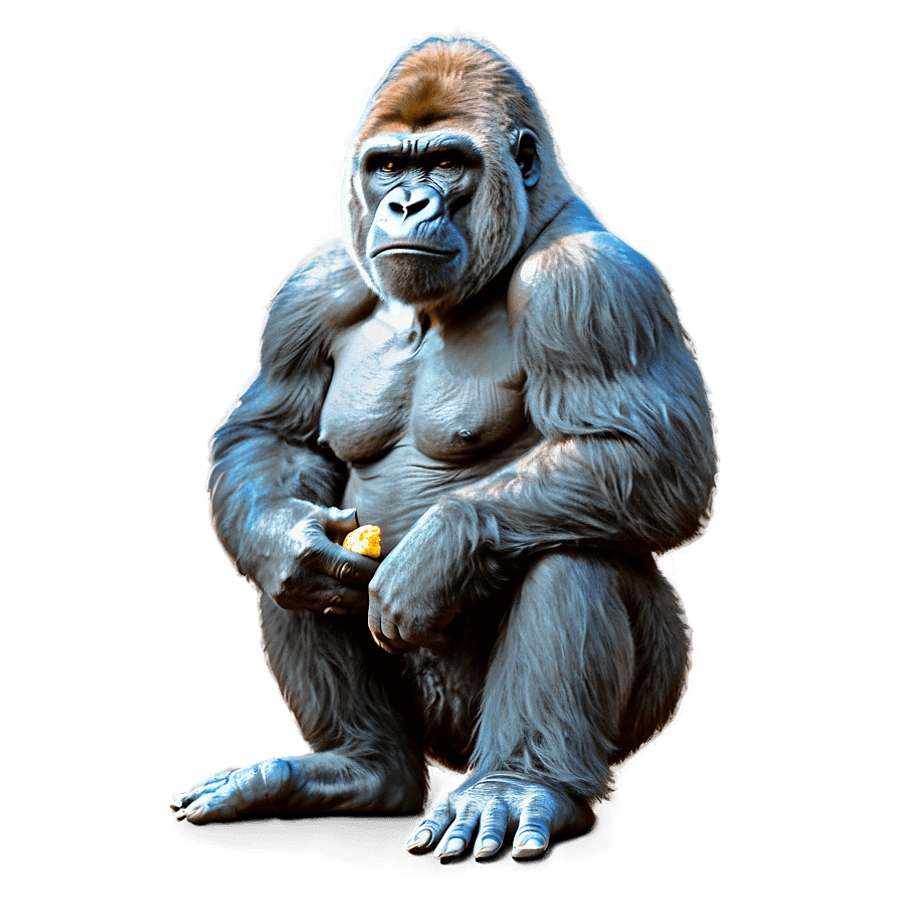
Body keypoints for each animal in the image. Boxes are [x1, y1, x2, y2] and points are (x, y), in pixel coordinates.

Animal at [169, 31, 718, 862]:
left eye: (447, 162)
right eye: (388, 166)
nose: (406, 205)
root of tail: (453, 758)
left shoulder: (595, 285)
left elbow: (652, 456)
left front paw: (440, 552)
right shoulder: (311, 286)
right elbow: (271, 437)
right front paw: (289, 540)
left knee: (575, 545)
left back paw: (519, 783)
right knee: (293, 569)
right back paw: (359, 766)